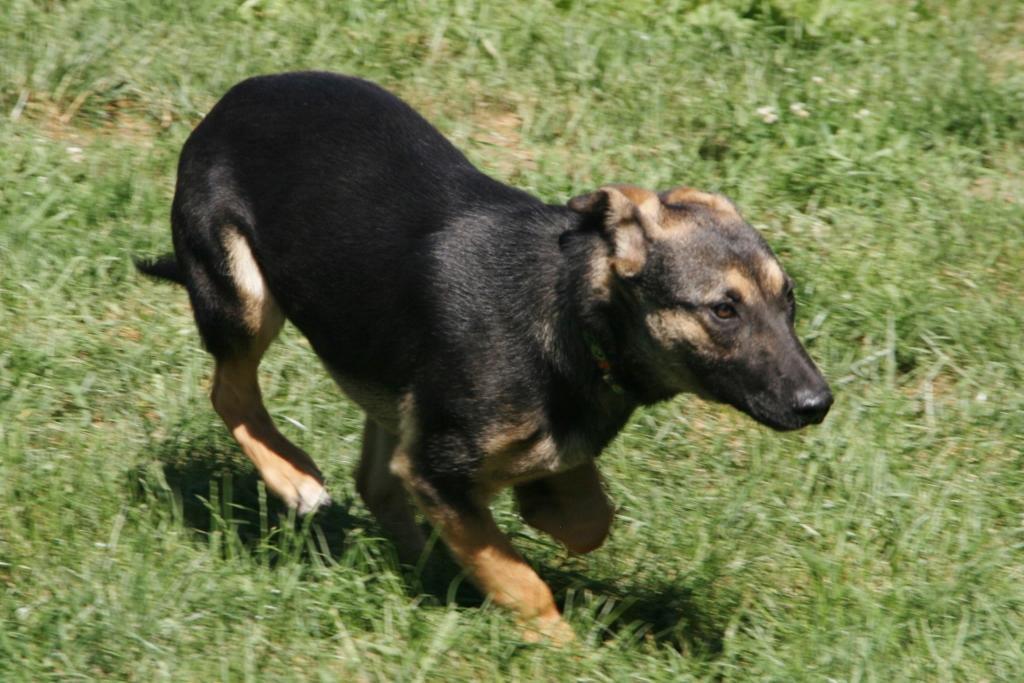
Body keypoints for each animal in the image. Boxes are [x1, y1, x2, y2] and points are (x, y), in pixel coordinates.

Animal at [137, 71, 832, 642]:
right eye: (723, 311)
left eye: (789, 299)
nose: (818, 404)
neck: (570, 313)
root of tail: (230, 101)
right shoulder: (436, 467)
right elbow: (519, 578)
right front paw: (557, 645)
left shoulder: (475, 447)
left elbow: (588, 516)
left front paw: (532, 514)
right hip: (242, 296)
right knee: (230, 392)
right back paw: (295, 478)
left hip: (380, 366)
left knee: (374, 474)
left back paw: (422, 567)